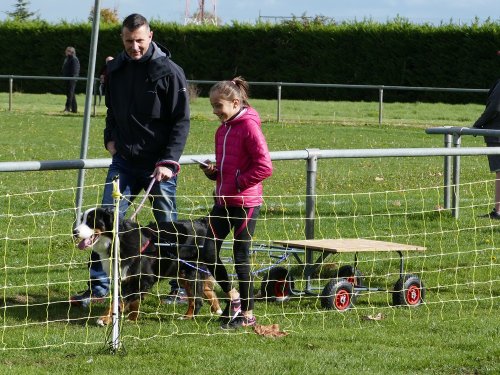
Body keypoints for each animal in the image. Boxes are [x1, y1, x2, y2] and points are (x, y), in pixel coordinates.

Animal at [73, 209, 221, 326]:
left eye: (91, 221)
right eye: (82, 219)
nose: (74, 231)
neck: (118, 240)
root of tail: (201, 222)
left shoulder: (142, 278)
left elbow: (119, 301)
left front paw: (104, 319)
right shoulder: (127, 278)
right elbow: (133, 301)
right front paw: (132, 319)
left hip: (191, 272)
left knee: (197, 300)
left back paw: (187, 317)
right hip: (185, 272)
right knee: (206, 291)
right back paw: (216, 309)